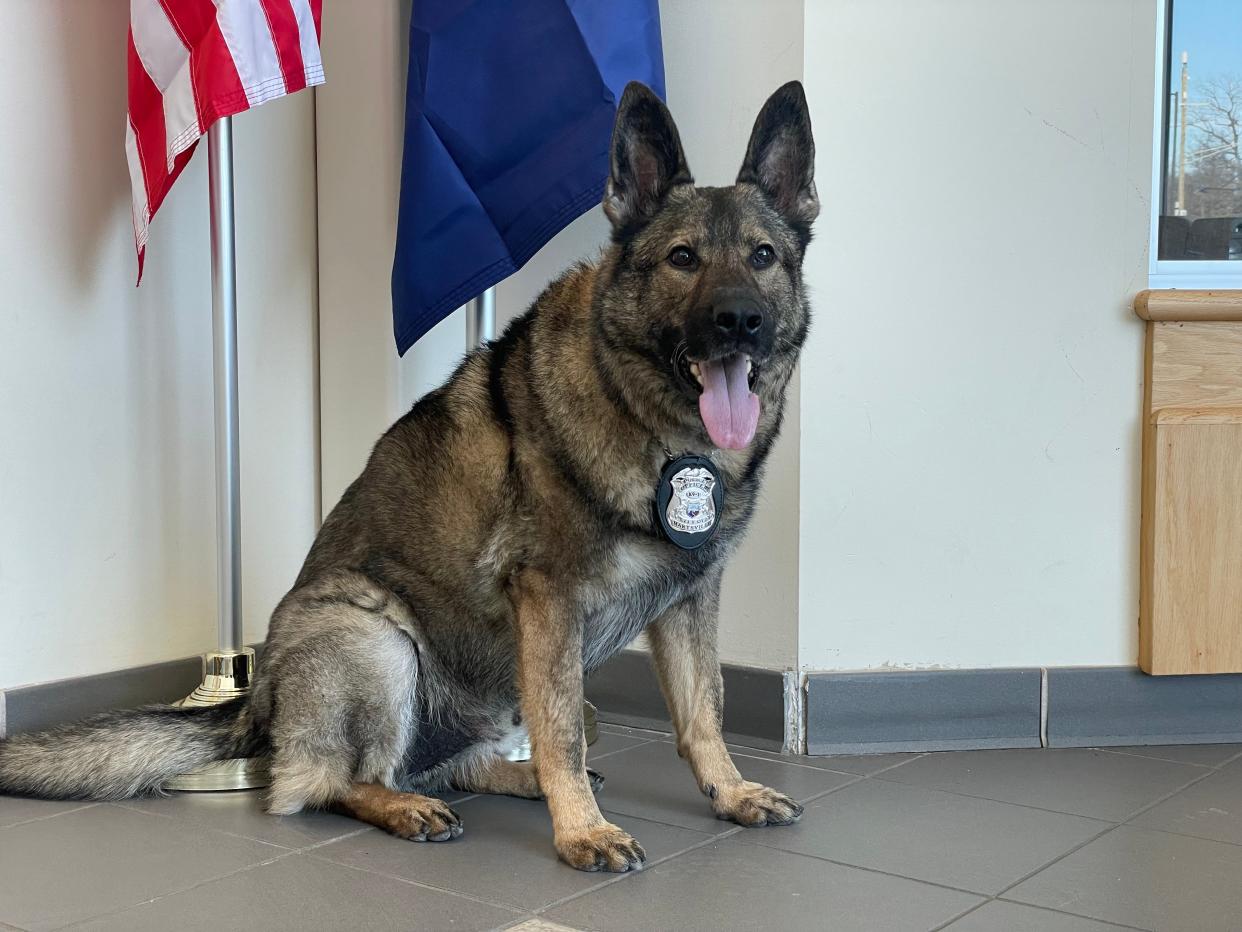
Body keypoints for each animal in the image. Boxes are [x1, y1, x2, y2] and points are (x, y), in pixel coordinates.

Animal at [0, 82, 819, 874]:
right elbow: (565, 728)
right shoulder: (550, 599)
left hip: (483, 692)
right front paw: (582, 830)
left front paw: (729, 791)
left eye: (763, 256)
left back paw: (513, 779)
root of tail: (256, 699)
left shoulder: (689, 600)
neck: (658, 428)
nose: (740, 321)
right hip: (376, 640)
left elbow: (703, 710)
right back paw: (406, 806)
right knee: (324, 784)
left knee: (450, 764)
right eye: (682, 258)